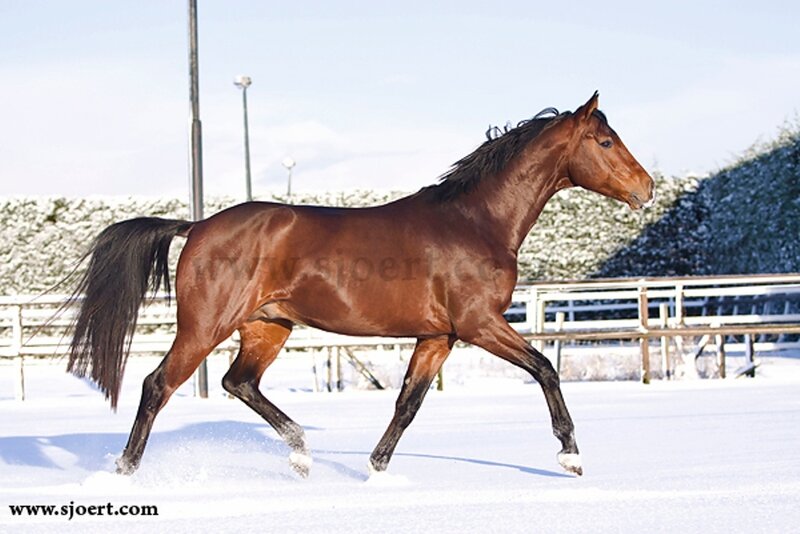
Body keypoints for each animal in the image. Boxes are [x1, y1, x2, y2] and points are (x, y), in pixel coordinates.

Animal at [65, 92, 654, 478]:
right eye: (605, 141)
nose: (646, 188)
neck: (475, 220)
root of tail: (198, 225)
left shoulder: (439, 336)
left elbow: (407, 404)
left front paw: (375, 468)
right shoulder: (479, 325)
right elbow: (546, 368)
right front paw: (571, 456)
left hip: (267, 328)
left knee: (239, 383)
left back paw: (301, 453)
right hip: (205, 326)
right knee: (157, 386)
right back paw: (124, 470)